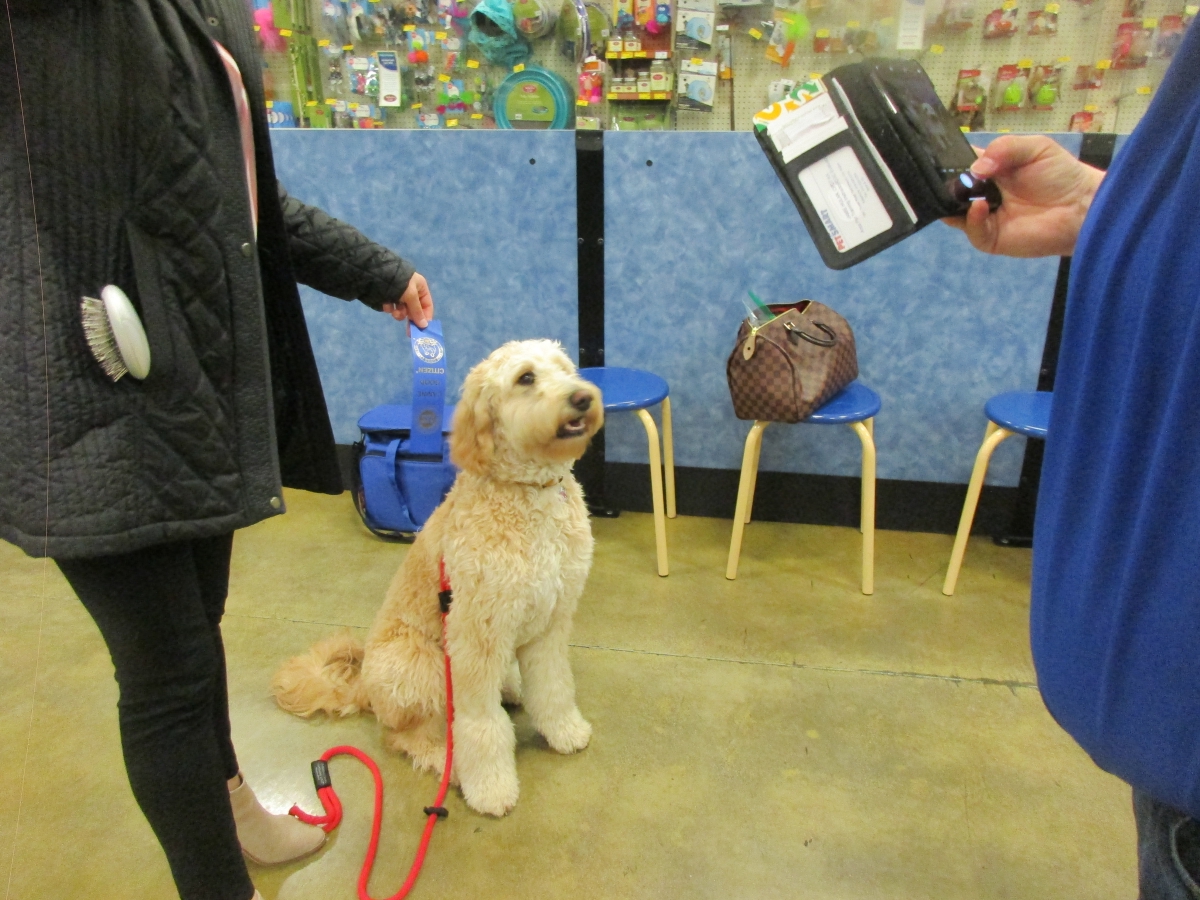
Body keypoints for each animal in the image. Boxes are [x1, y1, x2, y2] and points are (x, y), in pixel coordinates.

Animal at [272, 339, 603, 816]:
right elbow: (481, 725)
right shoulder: (475, 638)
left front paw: (564, 730)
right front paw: (490, 786)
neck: (529, 494)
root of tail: (364, 687)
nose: (582, 397)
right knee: (404, 736)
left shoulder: (551, 622)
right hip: (423, 666)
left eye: (566, 369)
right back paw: (445, 762)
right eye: (526, 378)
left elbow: (554, 686)